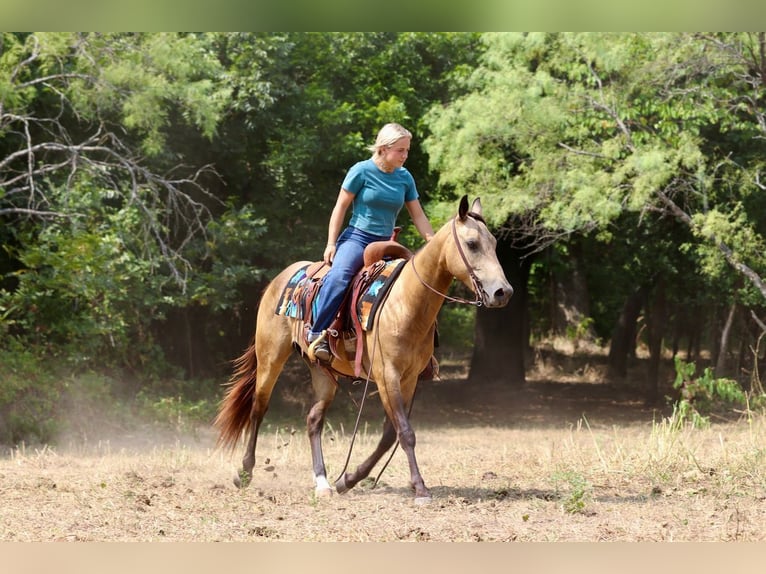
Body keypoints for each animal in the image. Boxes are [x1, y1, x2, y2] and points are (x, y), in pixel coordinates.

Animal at [214, 195, 513, 503]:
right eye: (472, 244)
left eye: (494, 243)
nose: (503, 292)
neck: (406, 302)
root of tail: (280, 280)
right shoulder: (386, 375)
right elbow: (405, 432)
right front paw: (420, 488)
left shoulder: (409, 379)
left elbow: (390, 435)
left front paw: (348, 479)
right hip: (270, 358)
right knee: (258, 409)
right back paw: (245, 472)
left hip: (321, 371)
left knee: (313, 420)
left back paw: (322, 482)